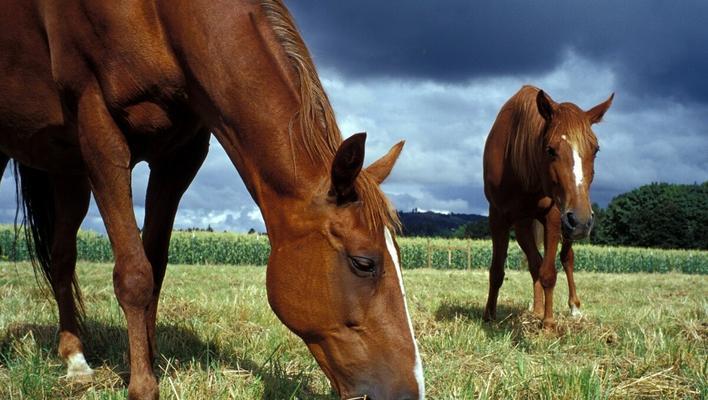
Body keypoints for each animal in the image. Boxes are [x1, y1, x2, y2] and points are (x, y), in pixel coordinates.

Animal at [0, 1, 420, 398]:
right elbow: (134, 274)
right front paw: (143, 387)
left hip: (67, 171)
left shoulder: (179, 158)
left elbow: (155, 268)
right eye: (364, 263)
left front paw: (148, 361)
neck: (160, 18)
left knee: (61, 257)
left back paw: (75, 359)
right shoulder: (100, 133)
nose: (410, 391)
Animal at [482, 84, 612, 328]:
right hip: (527, 225)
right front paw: (489, 316)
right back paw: (536, 309)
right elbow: (497, 271)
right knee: (535, 263)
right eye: (550, 150)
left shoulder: (553, 215)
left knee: (566, 259)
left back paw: (573, 308)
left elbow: (550, 273)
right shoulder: (497, 216)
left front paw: (549, 324)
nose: (581, 221)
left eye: (596, 149)